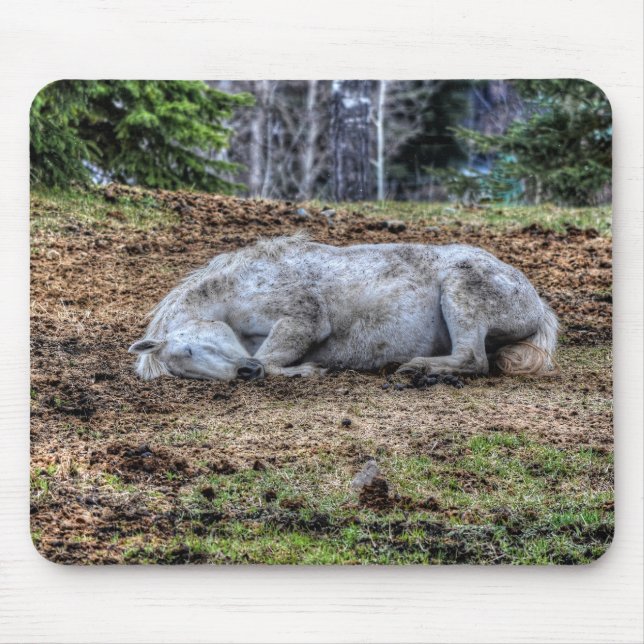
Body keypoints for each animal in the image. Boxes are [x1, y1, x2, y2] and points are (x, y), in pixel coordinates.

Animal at [129, 234, 558, 381]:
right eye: (186, 368)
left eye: (191, 348)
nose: (243, 373)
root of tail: (536, 304)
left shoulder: (303, 319)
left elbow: (272, 357)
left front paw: (305, 370)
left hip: (461, 292)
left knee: (472, 359)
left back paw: (418, 368)